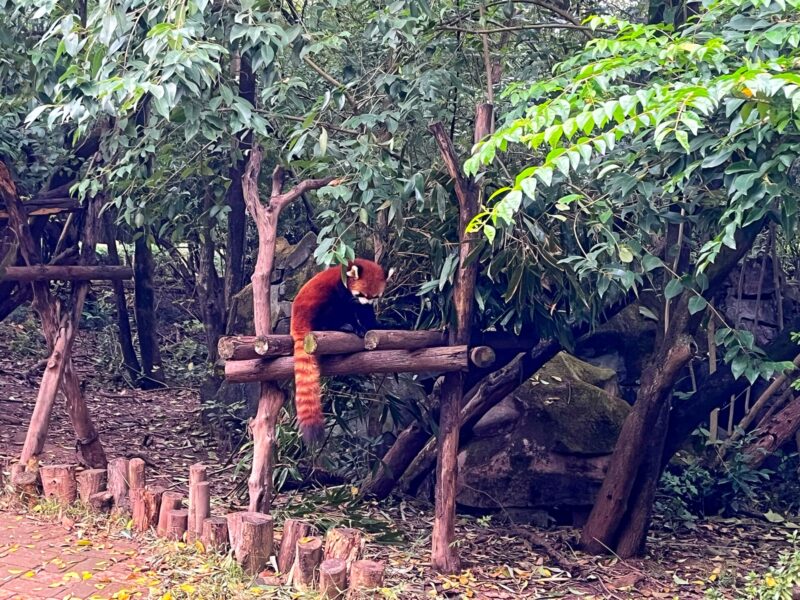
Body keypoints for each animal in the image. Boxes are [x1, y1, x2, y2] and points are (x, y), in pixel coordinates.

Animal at [290, 258, 390, 446]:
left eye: (374, 296)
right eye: (361, 294)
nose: (365, 302)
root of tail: (296, 322)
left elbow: (365, 313)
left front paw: (376, 325)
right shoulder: (342, 290)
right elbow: (348, 309)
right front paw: (358, 327)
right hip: (318, 307)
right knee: (330, 313)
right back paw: (343, 326)